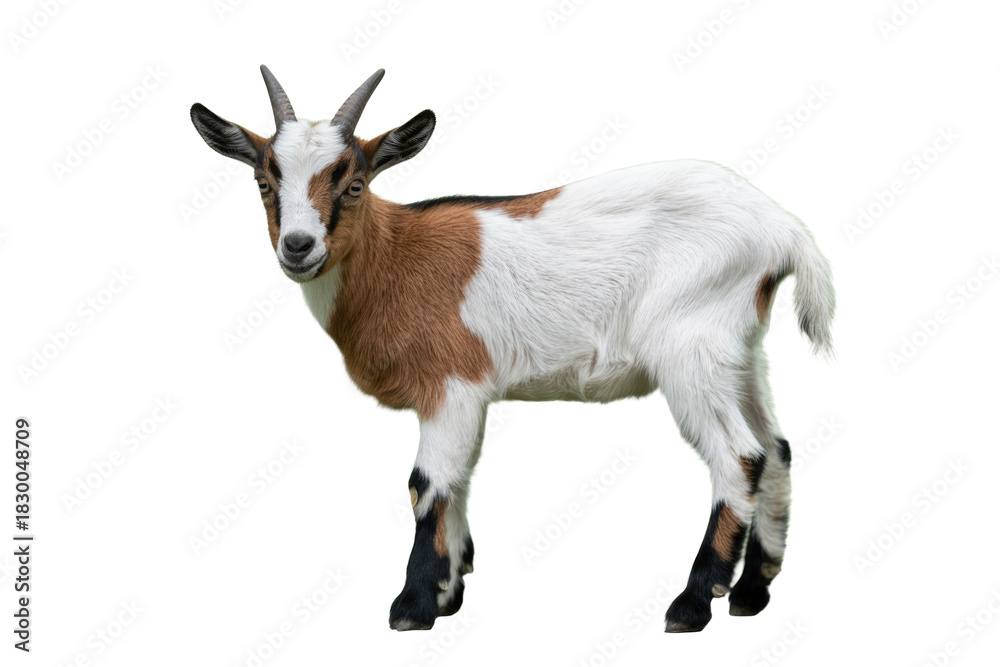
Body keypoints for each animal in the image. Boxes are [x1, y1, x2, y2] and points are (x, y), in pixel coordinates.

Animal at [190, 66, 835, 633]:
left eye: (354, 184)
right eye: (264, 183)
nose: (299, 246)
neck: (395, 259)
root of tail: (783, 228)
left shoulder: (451, 384)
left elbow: (427, 483)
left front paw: (414, 605)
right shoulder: (465, 397)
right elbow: (459, 479)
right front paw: (451, 591)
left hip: (689, 348)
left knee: (738, 456)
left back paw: (693, 602)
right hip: (738, 352)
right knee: (776, 446)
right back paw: (752, 594)